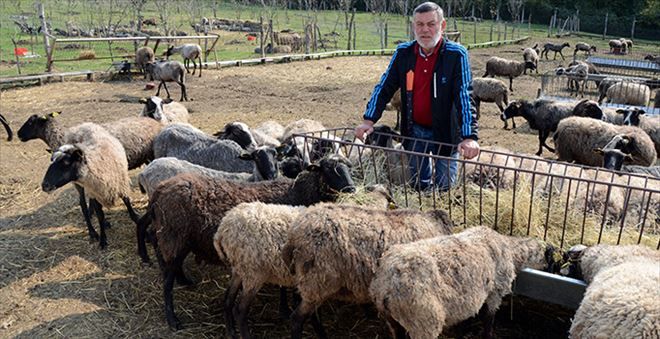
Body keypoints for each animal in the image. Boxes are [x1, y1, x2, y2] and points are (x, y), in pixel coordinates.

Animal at [136, 155, 356, 330]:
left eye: (348, 167)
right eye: (328, 169)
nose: (352, 188)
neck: (298, 192)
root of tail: (160, 191)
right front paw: (285, 309)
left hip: (176, 239)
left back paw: (182, 280)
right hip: (174, 237)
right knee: (166, 282)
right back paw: (173, 320)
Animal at [214, 186, 394, 339]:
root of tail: (223, 227)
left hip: (240, 269)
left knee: (228, 299)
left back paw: (231, 332)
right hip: (254, 272)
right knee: (241, 309)